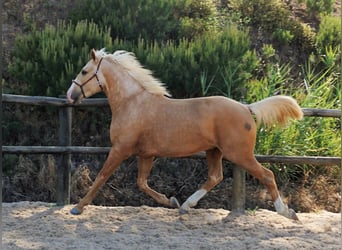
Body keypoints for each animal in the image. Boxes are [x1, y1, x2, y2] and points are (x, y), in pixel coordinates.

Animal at [66, 48, 302, 219]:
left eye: (84, 71)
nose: (70, 95)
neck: (132, 103)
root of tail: (246, 108)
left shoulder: (120, 149)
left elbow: (101, 177)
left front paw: (78, 207)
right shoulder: (146, 154)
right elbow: (142, 183)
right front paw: (170, 201)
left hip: (239, 154)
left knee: (267, 175)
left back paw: (286, 212)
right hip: (214, 151)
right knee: (215, 177)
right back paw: (186, 205)